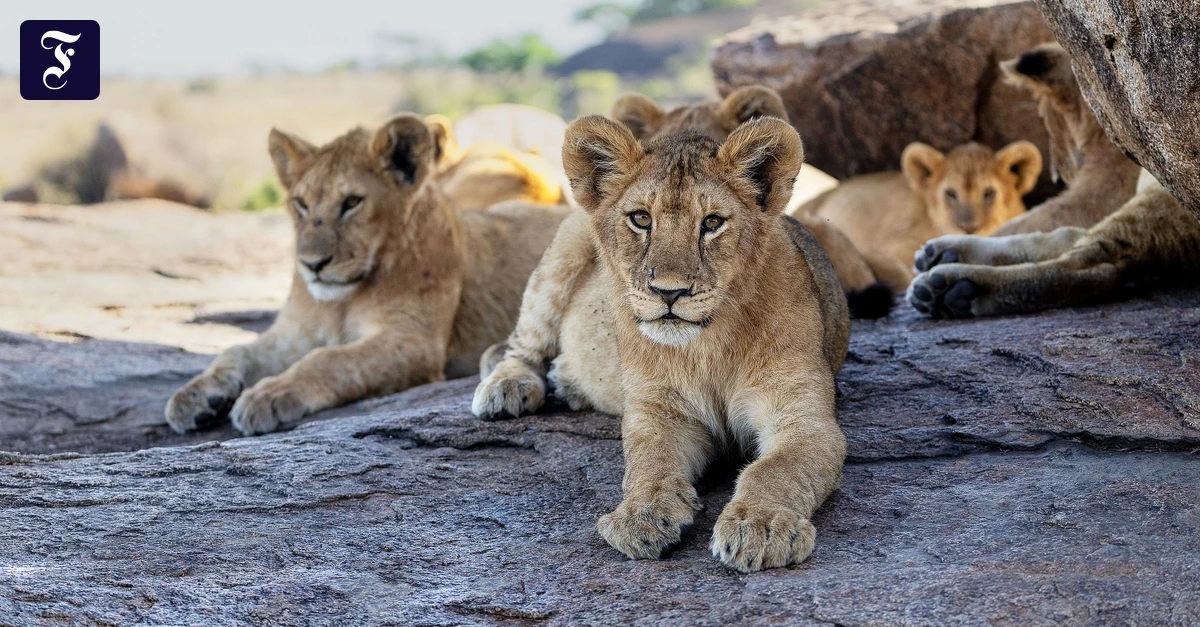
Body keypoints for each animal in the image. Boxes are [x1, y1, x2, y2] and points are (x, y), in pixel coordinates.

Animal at [475, 115, 850, 572]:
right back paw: (507, 388)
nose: (668, 292)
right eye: (640, 218)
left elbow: (776, 470)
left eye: (711, 223)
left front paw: (758, 526)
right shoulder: (659, 411)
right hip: (563, 247)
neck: (708, 345)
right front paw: (641, 515)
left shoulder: (803, 416)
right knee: (522, 344)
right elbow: (649, 463)